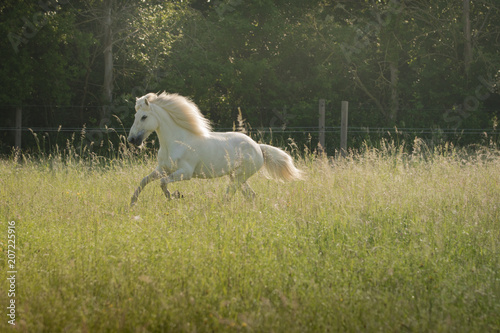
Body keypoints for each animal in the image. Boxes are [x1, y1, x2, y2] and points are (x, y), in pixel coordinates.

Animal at [127, 91, 302, 205]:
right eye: (135, 116)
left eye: (144, 117)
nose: (132, 140)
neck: (176, 142)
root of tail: (258, 147)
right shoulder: (163, 169)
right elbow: (145, 180)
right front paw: (133, 202)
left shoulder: (185, 173)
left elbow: (163, 183)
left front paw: (176, 196)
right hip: (237, 177)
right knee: (250, 195)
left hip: (238, 177)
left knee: (229, 196)